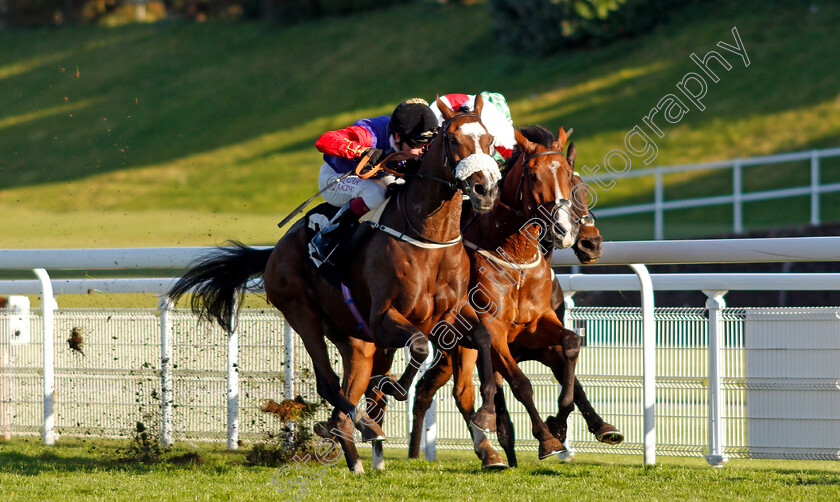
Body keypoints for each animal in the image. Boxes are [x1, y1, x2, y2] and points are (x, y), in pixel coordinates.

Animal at [167, 95, 502, 474]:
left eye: (490, 140)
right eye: (453, 140)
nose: (485, 191)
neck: (429, 238)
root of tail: (275, 250)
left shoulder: (452, 315)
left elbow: (483, 338)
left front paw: (487, 416)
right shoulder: (384, 319)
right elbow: (418, 347)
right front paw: (394, 389)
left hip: (354, 340)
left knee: (347, 389)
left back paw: (353, 449)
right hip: (303, 314)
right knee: (328, 383)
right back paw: (362, 426)